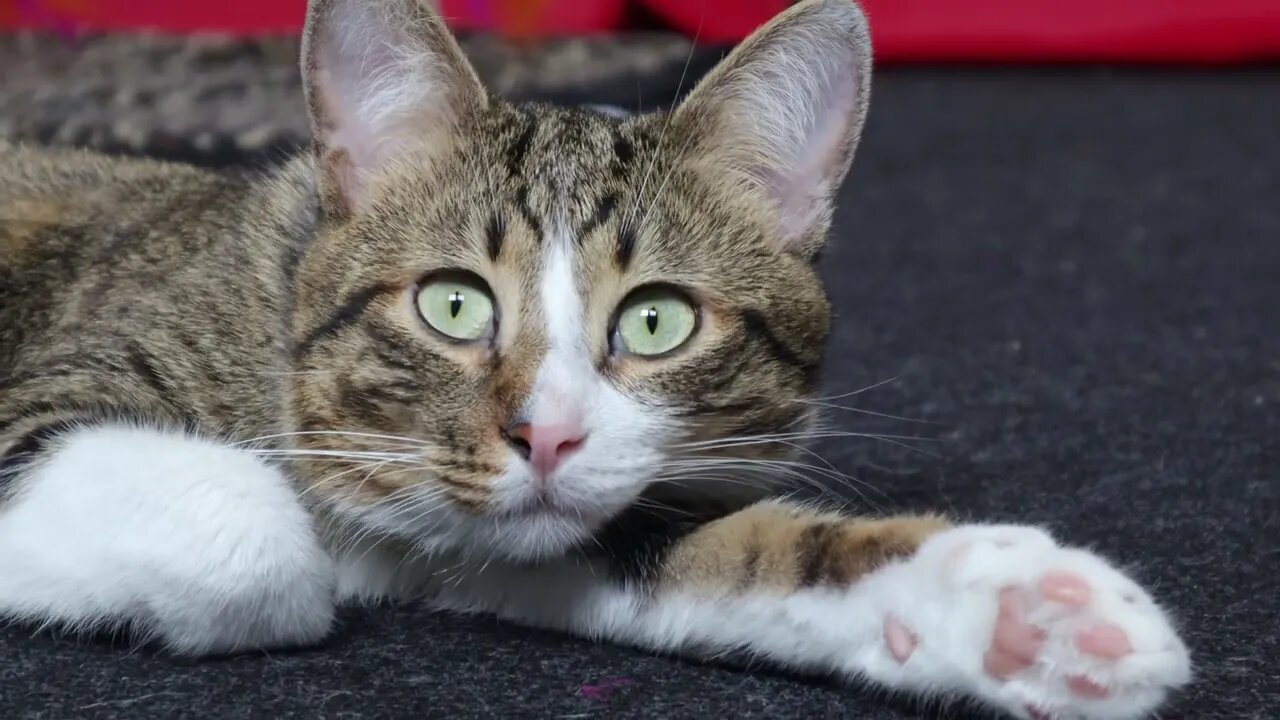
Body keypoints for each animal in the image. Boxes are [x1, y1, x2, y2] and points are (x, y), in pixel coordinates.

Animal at [0, 0, 1187, 712]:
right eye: (452, 305)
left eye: (657, 321)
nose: (547, 436)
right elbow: (255, 538)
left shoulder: (530, 525)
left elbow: (722, 550)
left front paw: (1019, 613)